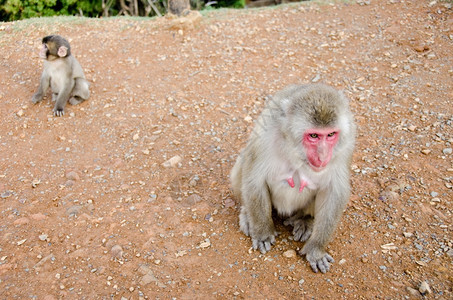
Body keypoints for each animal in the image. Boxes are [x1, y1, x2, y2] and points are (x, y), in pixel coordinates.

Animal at [231, 83, 354, 274]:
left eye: (331, 134)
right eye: (314, 136)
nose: (323, 156)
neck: (294, 148)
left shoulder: (345, 146)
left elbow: (334, 192)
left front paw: (316, 249)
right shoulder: (265, 137)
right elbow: (254, 179)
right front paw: (262, 232)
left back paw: (305, 220)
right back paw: (247, 214)